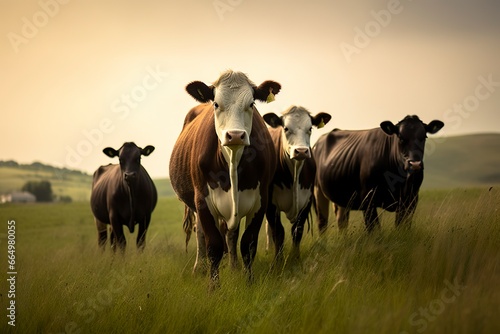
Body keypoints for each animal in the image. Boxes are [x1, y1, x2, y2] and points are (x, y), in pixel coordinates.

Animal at [169, 70, 282, 284]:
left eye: (252, 104)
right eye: (216, 103)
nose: (235, 135)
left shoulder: (260, 201)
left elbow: (247, 244)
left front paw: (248, 282)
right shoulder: (202, 201)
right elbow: (213, 245)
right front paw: (213, 286)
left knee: (230, 235)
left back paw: (233, 266)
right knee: (200, 234)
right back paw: (200, 267)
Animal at [264, 105, 330, 262]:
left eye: (310, 128)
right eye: (286, 128)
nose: (301, 151)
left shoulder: (306, 201)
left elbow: (297, 231)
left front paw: (296, 258)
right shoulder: (270, 203)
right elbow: (278, 232)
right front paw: (278, 260)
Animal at [314, 115, 444, 232]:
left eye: (424, 137)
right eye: (401, 138)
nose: (415, 164)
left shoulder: (410, 200)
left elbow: (402, 228)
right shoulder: (367, 199)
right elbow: (374, 231)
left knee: (342, 221)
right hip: (317, 191)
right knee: (322, 223)